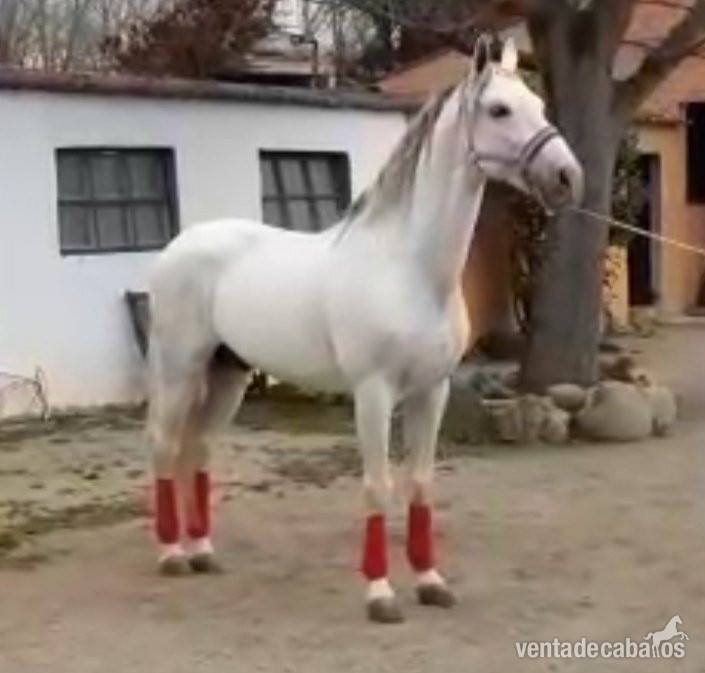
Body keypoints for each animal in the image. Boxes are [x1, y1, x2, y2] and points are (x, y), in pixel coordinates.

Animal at [146, 36, 583, 624]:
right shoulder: (373, 393)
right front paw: (380, 594)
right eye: (499, 110)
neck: (408, 267)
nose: (567, 177)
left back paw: (203, 552)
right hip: (180, 368)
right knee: (166, 443)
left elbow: (420, 483)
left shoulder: (431, 392)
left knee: (198, 448)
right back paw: (172, 553)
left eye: (537, 104)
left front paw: (430, 582)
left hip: (228, 374)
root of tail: (181, 245)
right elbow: (378, 487)